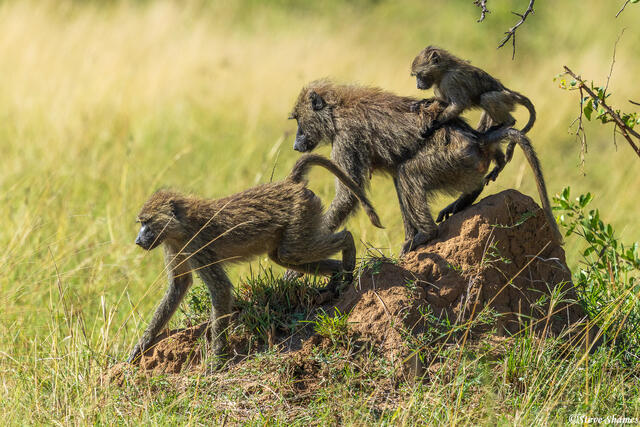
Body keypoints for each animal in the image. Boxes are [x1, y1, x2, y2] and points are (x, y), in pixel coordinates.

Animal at [127, 153, 383, 364]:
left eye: (146, 222)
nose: (138, 241)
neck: (180, 226)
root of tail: (289, 183)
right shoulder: (172, 245)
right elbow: (179, 285)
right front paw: (142, 345)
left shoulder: (197, 246)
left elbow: (220, 289)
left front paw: (216, 359)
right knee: (284, 256)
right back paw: (338, 274)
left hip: (300, 213)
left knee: (294, 252)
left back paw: (348, 251)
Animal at [289, 80, 562, 255]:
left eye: (299, 120)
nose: (295, 143)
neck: (336, 110)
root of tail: (477, 138)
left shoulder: (346, 138)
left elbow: (347, 197)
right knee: (404, 179)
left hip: (451, 158)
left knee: (407, 174)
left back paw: (428, 233)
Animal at [410, 46, 537, 180]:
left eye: (419, 75)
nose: (418, 85)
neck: (444, 70)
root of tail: (508, 91)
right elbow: (444, 101)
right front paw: (423, 102)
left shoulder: (451, 80)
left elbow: (458, 105)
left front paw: (431, 127)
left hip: (506, 99)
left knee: (487, 98)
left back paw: (506, 123)